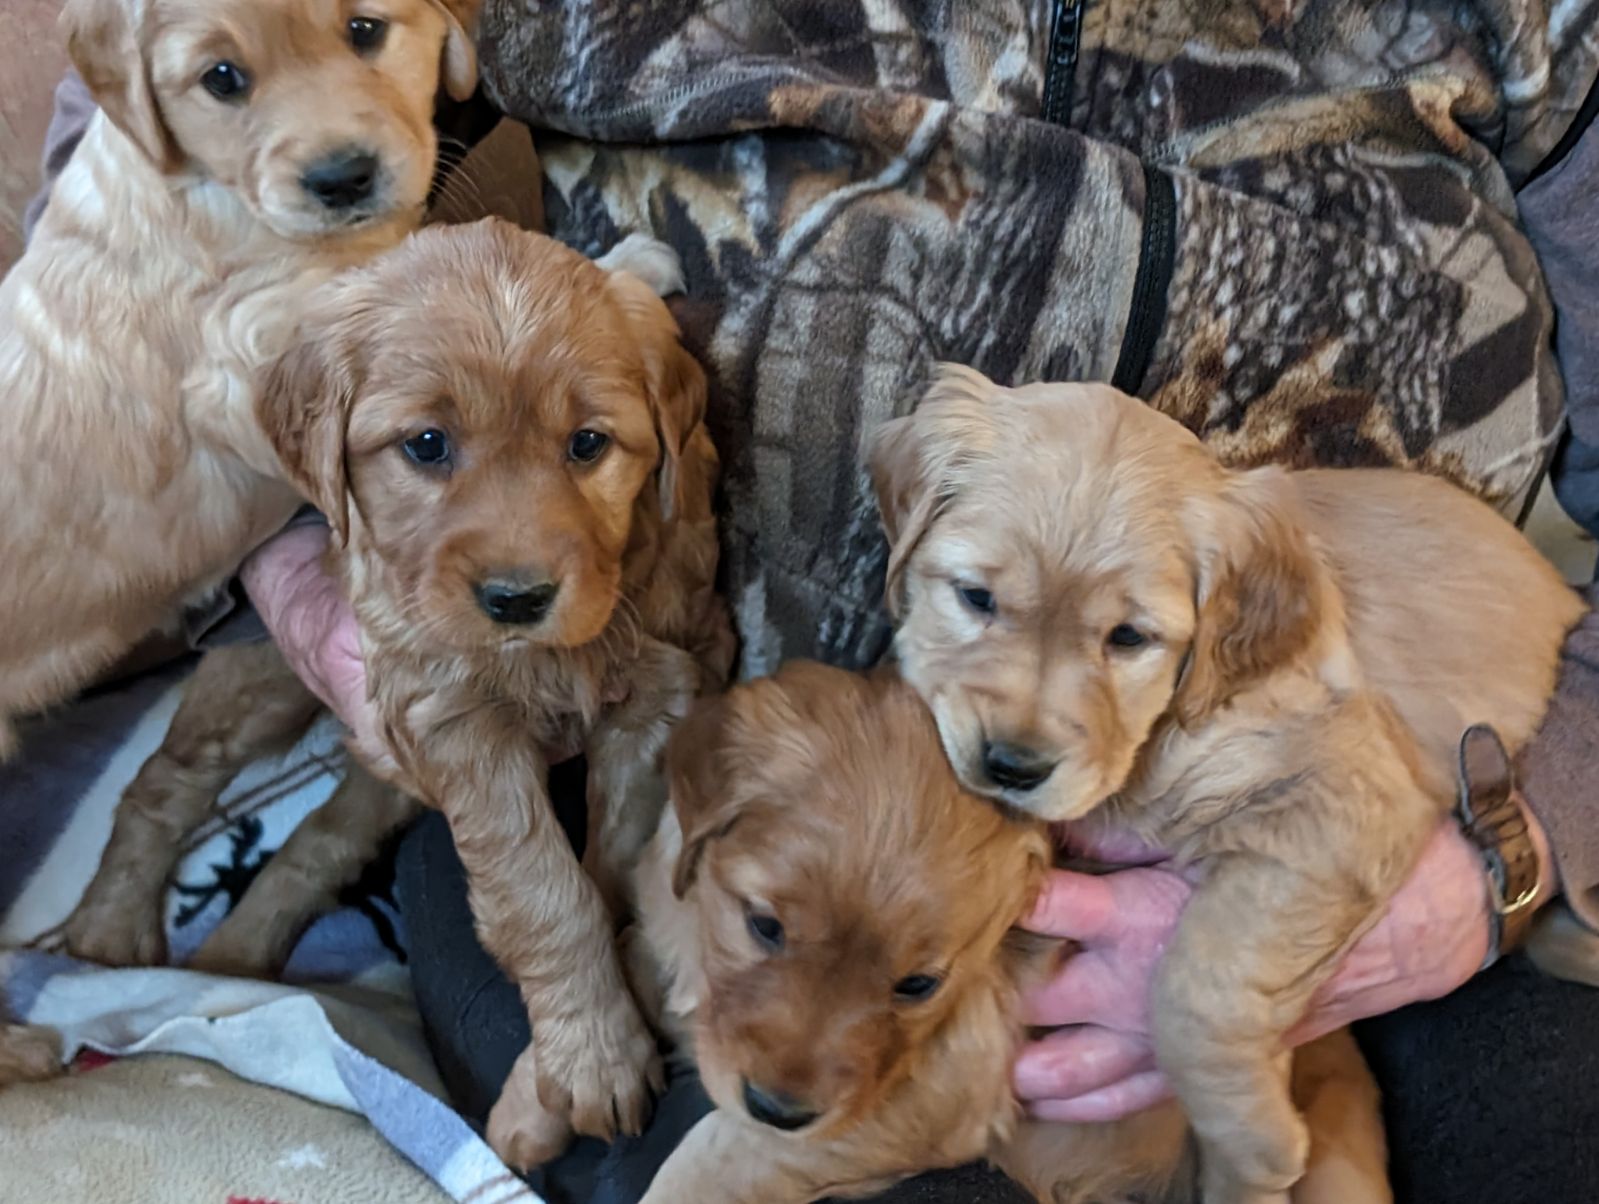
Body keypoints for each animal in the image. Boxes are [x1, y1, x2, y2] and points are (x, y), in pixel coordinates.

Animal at [869, 366, 1579, 1202]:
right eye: (974, 598)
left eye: (1128, 638)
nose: (1012, 766)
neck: (1163, 731)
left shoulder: (1341, 799)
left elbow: (1198, 982)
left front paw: (1250, 1143)